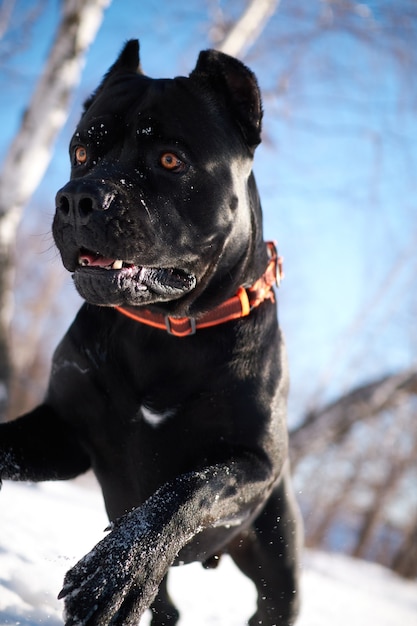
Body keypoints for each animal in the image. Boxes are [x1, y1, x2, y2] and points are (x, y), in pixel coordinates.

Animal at [0, 40, 300, 624]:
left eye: (169, 160)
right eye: (81, 153)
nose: (78, 198)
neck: (165, 332)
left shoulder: (252, 462)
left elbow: (189, 488)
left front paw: (114, 575)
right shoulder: (62, 431)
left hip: (279, 564)